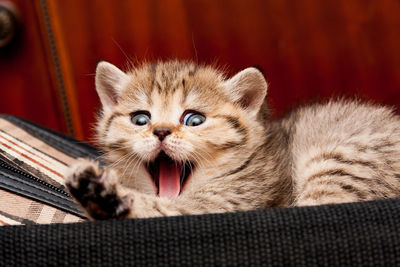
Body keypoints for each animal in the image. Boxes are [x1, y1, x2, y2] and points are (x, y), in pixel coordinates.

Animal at [65, 61, 400, 222]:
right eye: (140, 119)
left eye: (194, 120)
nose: (160, 131)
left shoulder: (226, 203)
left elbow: (163, 210)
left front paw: (104, 195)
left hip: (338, 160)